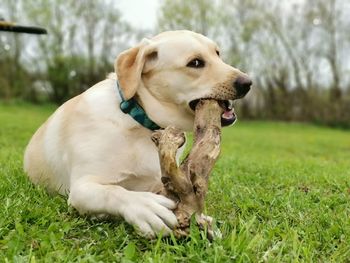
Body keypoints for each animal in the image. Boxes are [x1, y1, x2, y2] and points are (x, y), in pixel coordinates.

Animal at [23, 29, 250, 238]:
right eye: (195, 63)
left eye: (218, 54)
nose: (247, 83)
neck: (139, 121)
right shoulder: (81, 188)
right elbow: (114, 191)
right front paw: (144, 206)